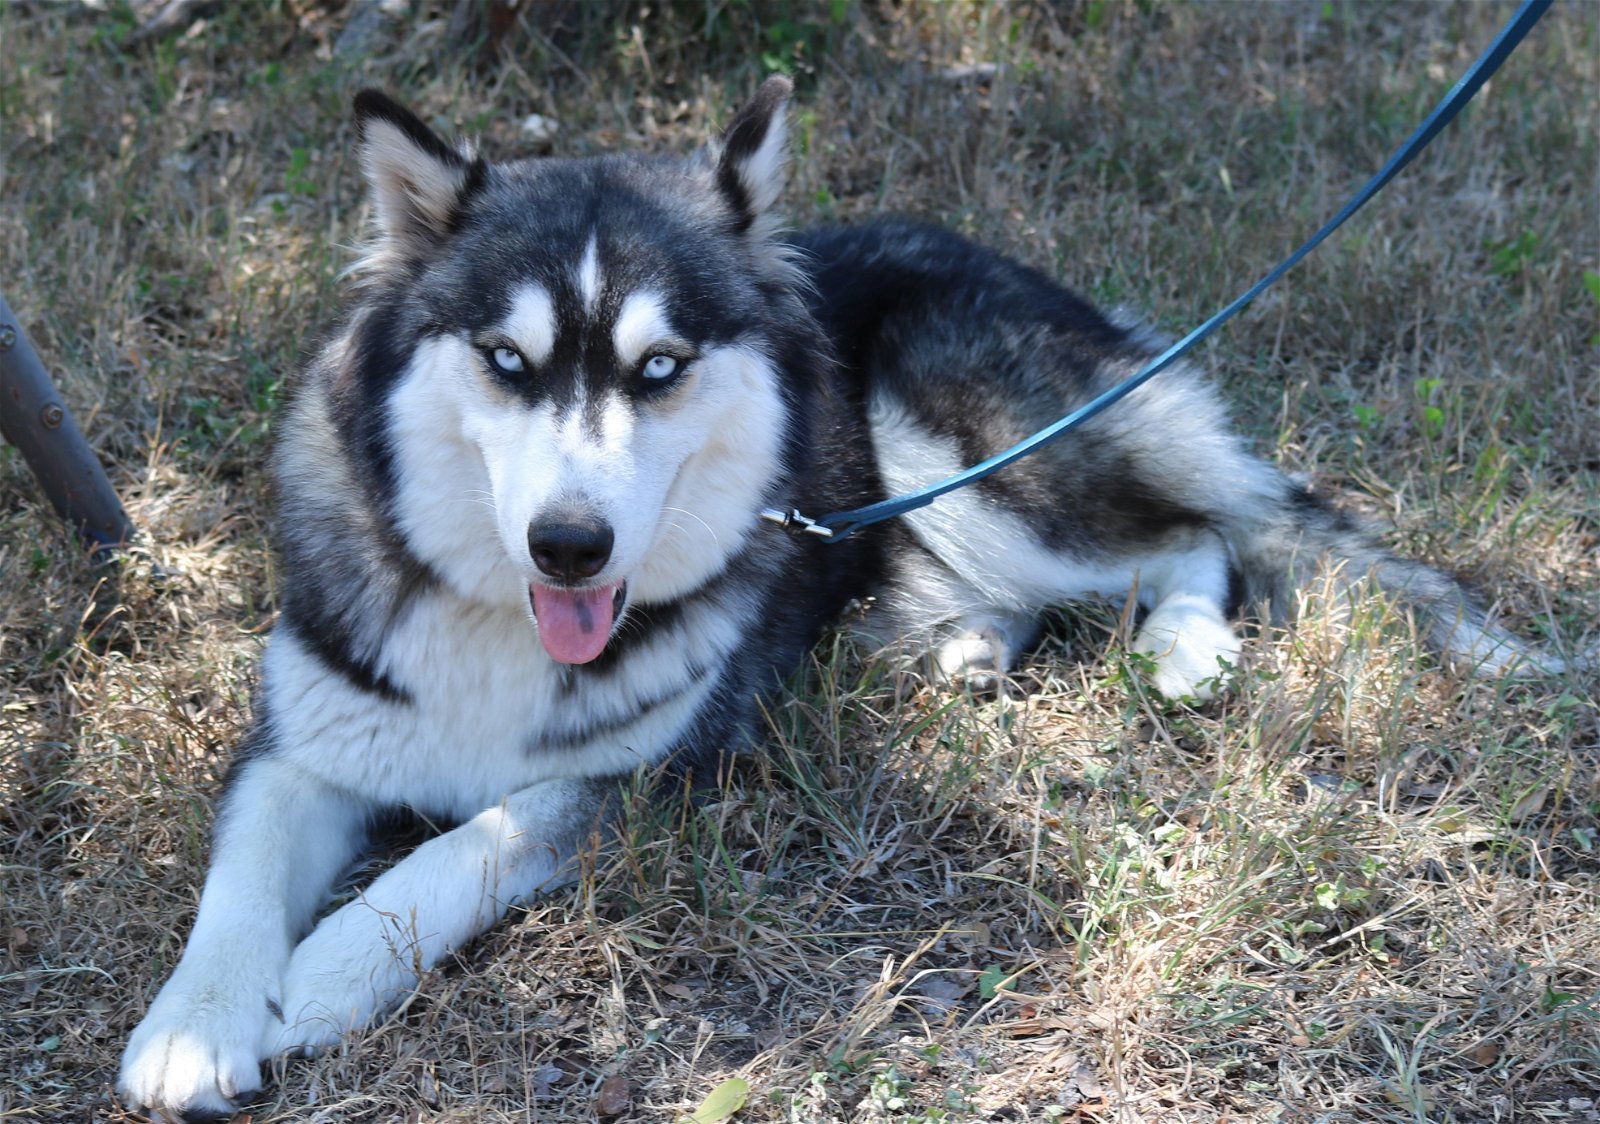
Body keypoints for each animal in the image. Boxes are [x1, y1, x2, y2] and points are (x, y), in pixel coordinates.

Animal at [109, 76, 1548, 1120]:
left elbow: (469, 843)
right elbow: (237, 875)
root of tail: (991, 253)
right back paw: (963, 647)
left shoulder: (644, 771)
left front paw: (327, 970)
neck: (495, 620)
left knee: (1193, 536)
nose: (570, 546)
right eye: (507, 361)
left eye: (662, 366)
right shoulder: (302, 738)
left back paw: (1185, 649)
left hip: (960, 448)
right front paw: (193, 1024)